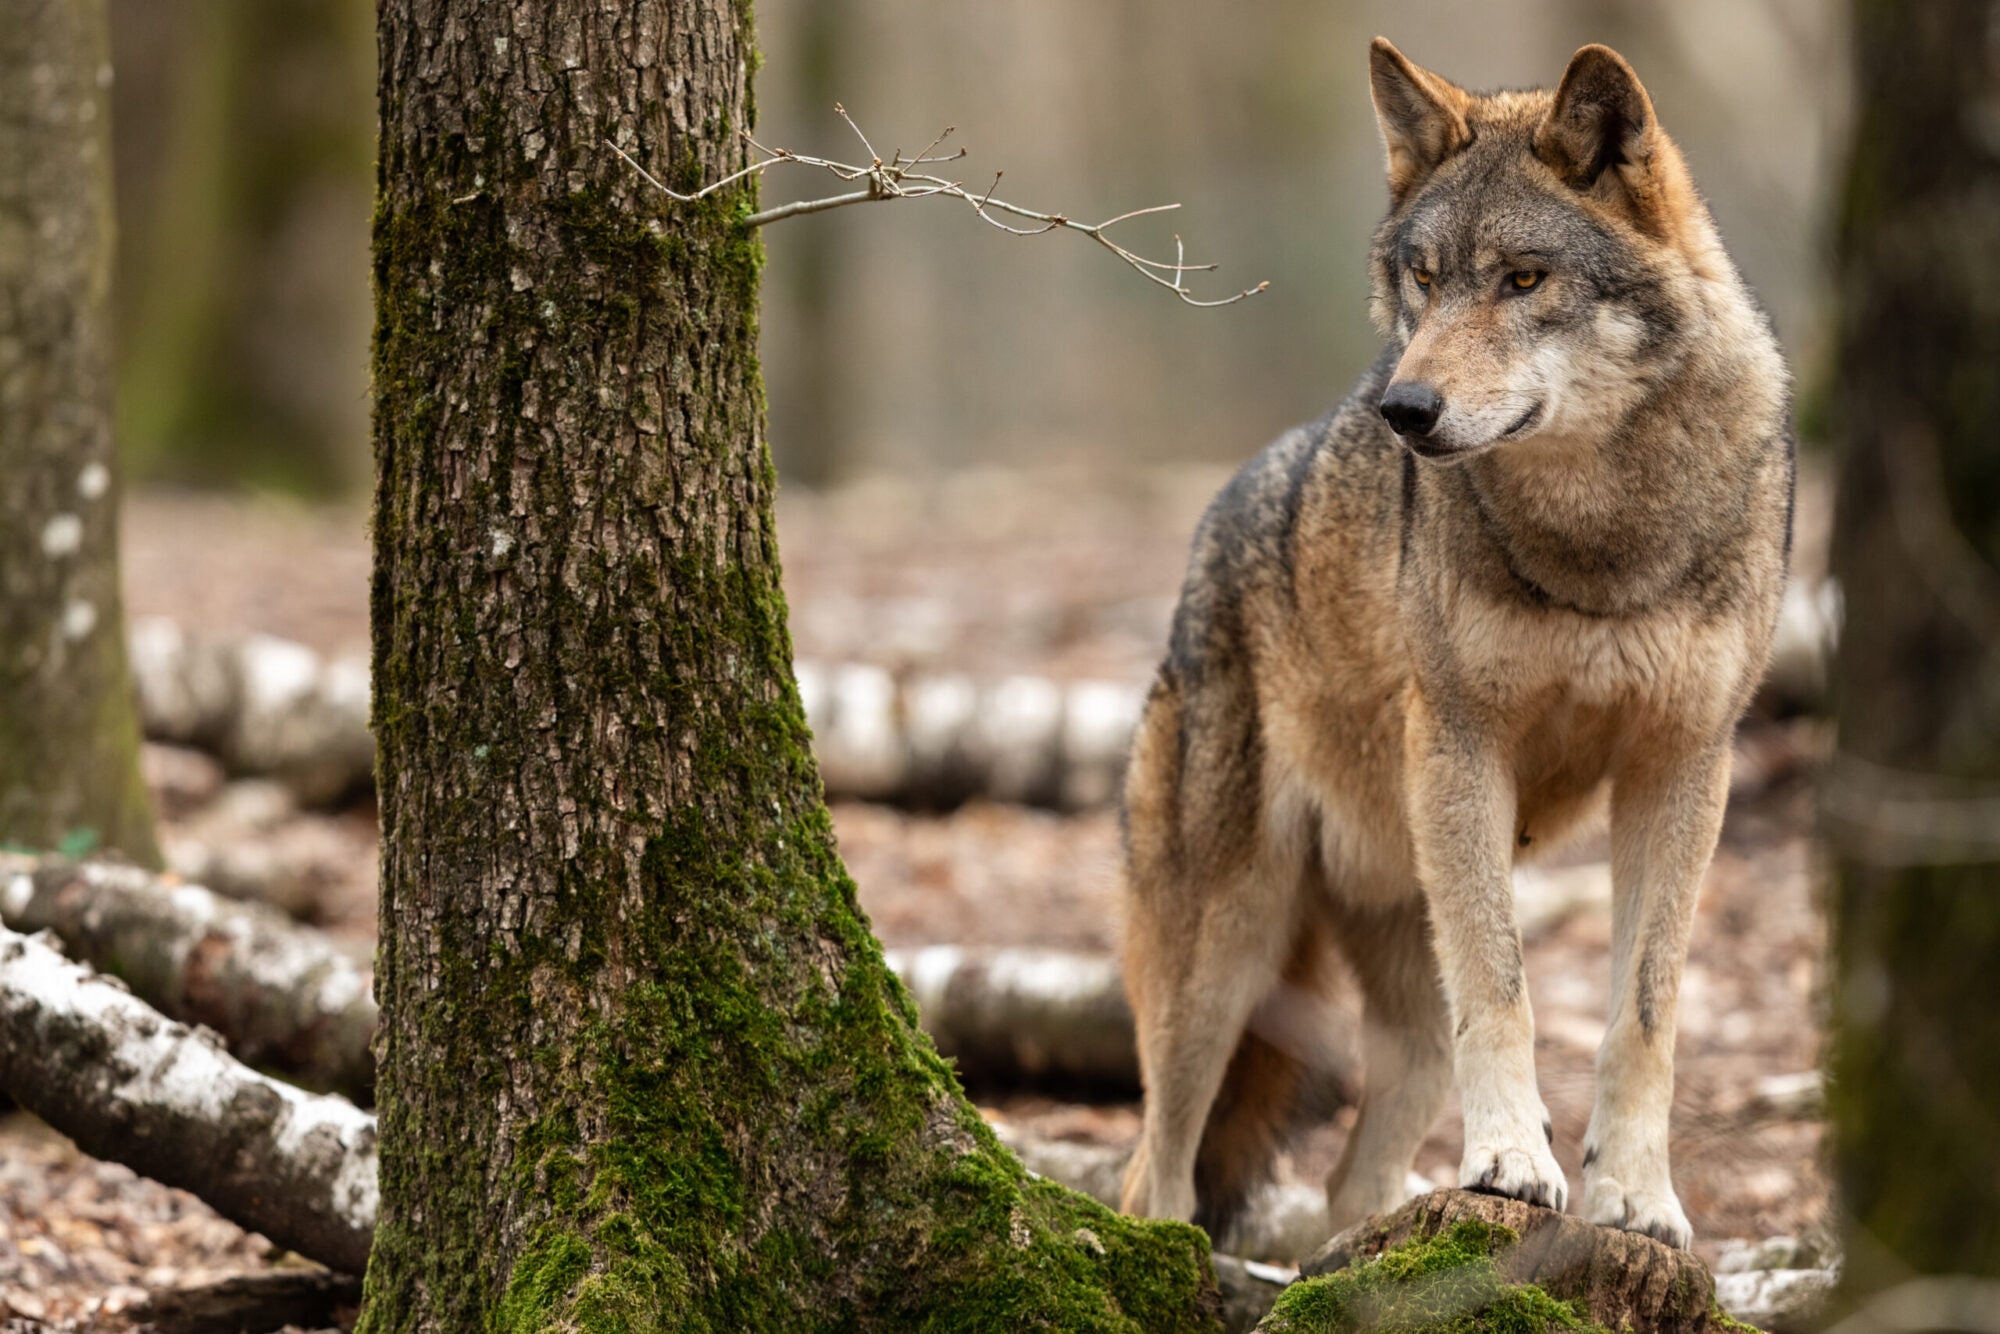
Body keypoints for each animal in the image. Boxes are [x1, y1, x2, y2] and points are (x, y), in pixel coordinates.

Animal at [1120, 39, 1792, 1256]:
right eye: (1424, 281)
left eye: (1522, 280)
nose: (1403, 408)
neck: (1600, 541)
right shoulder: (1462, 744)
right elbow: (1507, 990)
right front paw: (1514, 1164)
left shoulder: (1683, 765)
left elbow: (1644, 1012)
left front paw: (1636, 1197)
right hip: (1220, 965)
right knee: (1155, 1173)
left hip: (1389, 979)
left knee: (1350, 1186)